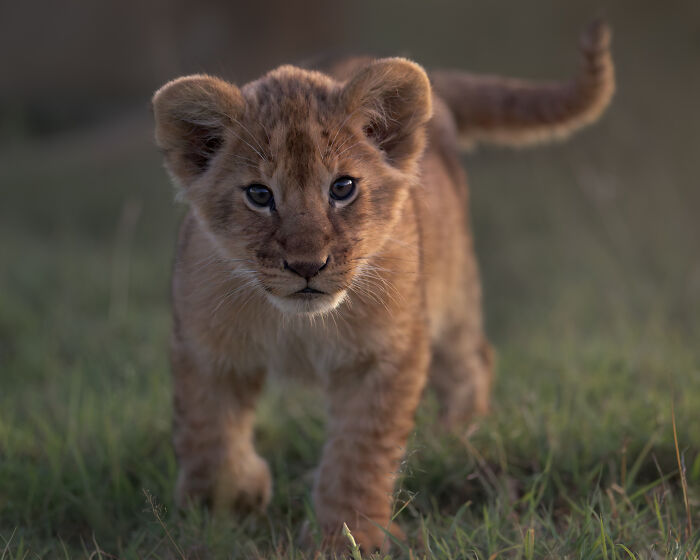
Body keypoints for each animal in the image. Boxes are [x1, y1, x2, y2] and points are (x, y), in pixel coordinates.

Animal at [151, 20, 614, 553]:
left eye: (342, 188)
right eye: (259, 195)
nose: (307, 266)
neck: (299, 326)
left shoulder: (386, 353)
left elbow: (359, 453)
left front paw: (346, 537)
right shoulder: (203, 348)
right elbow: (207, 433)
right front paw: (224, 505)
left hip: (451, 295)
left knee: (472, 362)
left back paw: (457, 439)